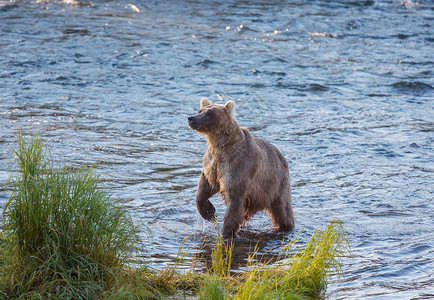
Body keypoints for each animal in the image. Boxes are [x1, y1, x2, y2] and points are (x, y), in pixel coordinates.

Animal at [187, 98, 294, 239]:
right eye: (200, 111)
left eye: (209, 113)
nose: (191, 118)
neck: (220, 146)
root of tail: (283, 157)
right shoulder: (212, 164)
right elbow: (205, 186)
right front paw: (209, 213)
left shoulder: (238, 166)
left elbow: (234, 200)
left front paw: (225, 233)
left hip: (277, 184)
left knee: (282, 210)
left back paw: (287, 226)